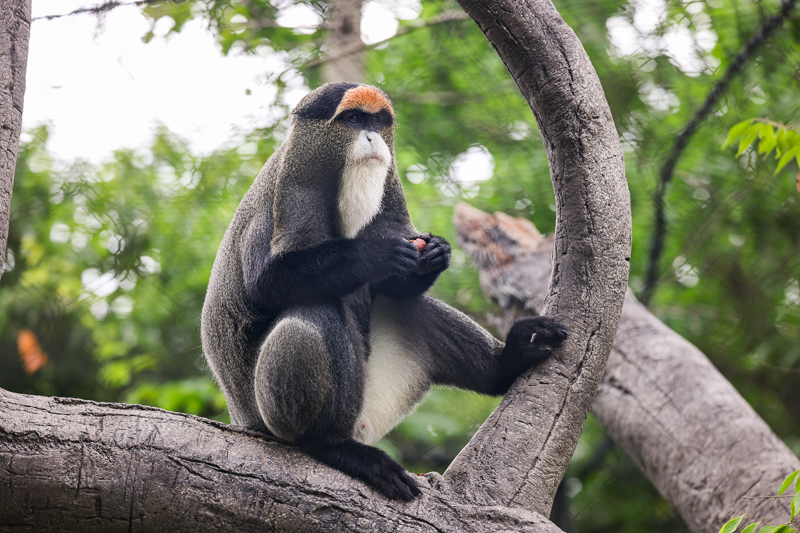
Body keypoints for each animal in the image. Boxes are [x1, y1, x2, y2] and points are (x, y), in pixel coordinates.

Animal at [201, 82, 569, 501]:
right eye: (353, 119)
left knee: (409, 309)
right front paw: (374, 255)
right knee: (313, 310)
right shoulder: (290, 194)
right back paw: (329, 445)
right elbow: (265, 285)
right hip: (270, 416)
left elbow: (395, 285)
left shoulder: (389, 190)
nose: (372, 137)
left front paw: (434, 255)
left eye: (377, 121)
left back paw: (507, 363)